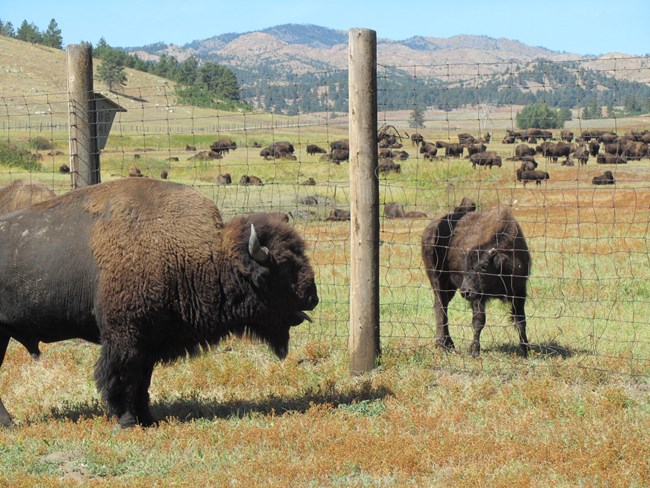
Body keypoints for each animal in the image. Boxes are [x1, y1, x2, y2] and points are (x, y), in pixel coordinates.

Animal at [0, 178, 316, 428]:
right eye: (285, 267)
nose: (313, 296)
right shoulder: (124, 338)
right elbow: (122, 378)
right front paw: (127, 422)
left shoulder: (149, 341)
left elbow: (143, 382)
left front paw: (149, 420)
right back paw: (10, 424)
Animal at [420, 198, 532, 354]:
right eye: (465, 267)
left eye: (483, 267)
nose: (466, 292)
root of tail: (430, 229)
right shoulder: (478, 297)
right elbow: (479, 321)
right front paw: (474, 350)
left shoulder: (519, 292)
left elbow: (521, 321)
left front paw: (526, 349)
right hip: (438, 280)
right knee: (440, 308)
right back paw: (443, 345)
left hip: (450, 288)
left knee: (442, 306)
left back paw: (448, 344)